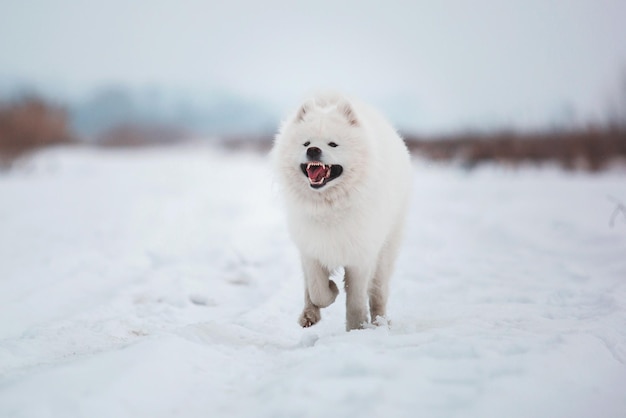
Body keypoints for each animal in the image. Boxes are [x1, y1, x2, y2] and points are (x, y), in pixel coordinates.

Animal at [272, 92, 410, 330]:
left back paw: (380, 322)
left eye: (333, 144)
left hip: (385, 251)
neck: (329, 207)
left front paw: (356, 328)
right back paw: (308, 315)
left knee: (378, 294)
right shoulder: (311, 249)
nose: (313, 150)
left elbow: (355, 299)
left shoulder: (361, 255)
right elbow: (317, 290)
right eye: (306, 143)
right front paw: (331, 290)